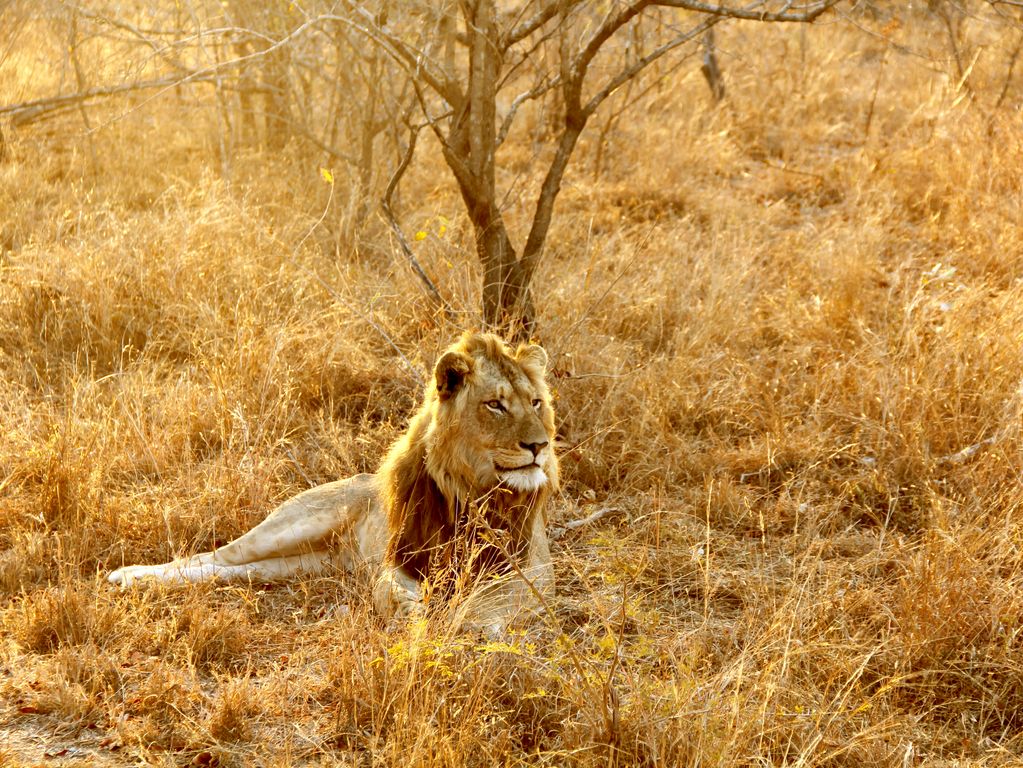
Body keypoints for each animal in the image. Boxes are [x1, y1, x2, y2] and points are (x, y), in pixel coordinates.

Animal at [109, 331, 560, 629]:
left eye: (536, 402)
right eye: (496, 405)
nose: (539, 445)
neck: (472, 490)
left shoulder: (534, 568)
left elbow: (494, 597)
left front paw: (466, 621)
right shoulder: (400, 559)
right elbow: (388, 590)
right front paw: (414, 614)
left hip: (301, 564)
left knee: (229, 570)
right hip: (290, 526)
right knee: (211, 556)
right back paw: (129, 576)